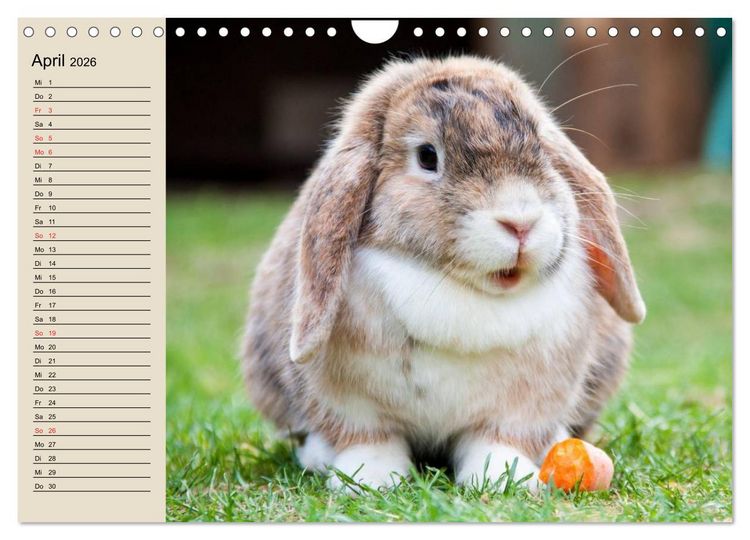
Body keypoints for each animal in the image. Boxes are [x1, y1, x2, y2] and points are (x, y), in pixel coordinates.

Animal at [242, 56, 645, 493]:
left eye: (540, 145)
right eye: (427, 156)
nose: (521, 222)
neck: (459, 289)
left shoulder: (522, 406)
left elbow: (497, 441)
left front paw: (504, 479)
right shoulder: (351, 404)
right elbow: (370, 439)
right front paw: (369, 480)